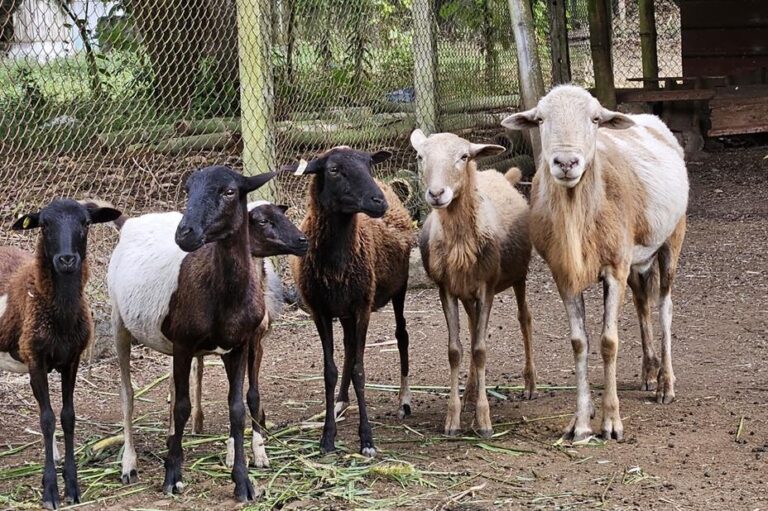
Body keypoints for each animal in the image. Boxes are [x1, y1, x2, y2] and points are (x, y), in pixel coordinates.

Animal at [0, 198, 121, 510]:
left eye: (85, 223)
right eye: (44, 225)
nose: (66, 260)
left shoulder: (71, 359)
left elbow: (67, 416)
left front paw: (72, 485)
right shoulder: (36, 359)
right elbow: (47, 419)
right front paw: (50, 490)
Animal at [108, 166, 276, 502]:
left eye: (229, 191)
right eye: (188, 189)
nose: (184, 233)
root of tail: (131, 221)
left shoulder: (237, 345)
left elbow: (236, 410)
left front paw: (243, 482)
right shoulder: (185, 343)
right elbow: (184, 407)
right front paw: (172, 477)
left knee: (171, 392)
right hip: (119, 321)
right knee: (128, 394)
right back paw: (129, 465)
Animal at [292, 146, 416, 458]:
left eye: (368, 165)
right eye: (334, 170)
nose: (378, 201)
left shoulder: (362, 306)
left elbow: (360, 370)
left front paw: (367, 440)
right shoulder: (320, 310)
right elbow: (330, 371)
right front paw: (327, 437)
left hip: (399, 286)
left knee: (402, 335)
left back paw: (404, 400)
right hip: (345, 310)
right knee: (348, 347)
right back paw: (341, 401)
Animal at [408, 130, 536, 438]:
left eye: (464, 156)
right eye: (421, 156)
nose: (437, 194)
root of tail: (500, 175)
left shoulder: (487, 286)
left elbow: (480, 350)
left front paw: (484, 421)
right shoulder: (446, 288)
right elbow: (456, 350)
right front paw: (453, 419)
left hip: (519, 274)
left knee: (524, 318)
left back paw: (529, 384)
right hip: (467, 294)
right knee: (473, 325)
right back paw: (469, 394)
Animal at [504, 86, 688, 442]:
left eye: (595, 119)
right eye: (540, 119)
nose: (566, 162)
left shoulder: (614, 268)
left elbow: (608, 341)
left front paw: (611, 422)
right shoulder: (564, 273)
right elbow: (579, 343)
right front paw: (581, 422)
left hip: (673, 236)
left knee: (664, 307)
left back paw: (666, 385)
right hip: (637, 258)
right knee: (643, 303)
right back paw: (648, 372)